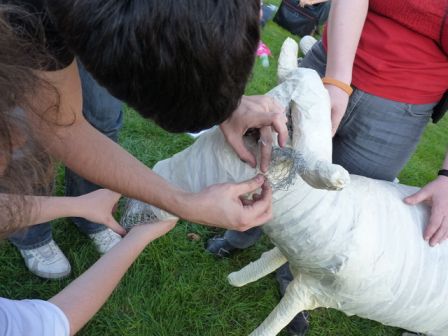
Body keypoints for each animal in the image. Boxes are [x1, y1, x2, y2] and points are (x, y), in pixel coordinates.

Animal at [121, 39, 448, 336]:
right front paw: (238, 279)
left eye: (254, 137)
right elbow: (275, 258)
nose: (128, 211)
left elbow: (272, 324)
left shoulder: (313, 291)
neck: (332, 214)